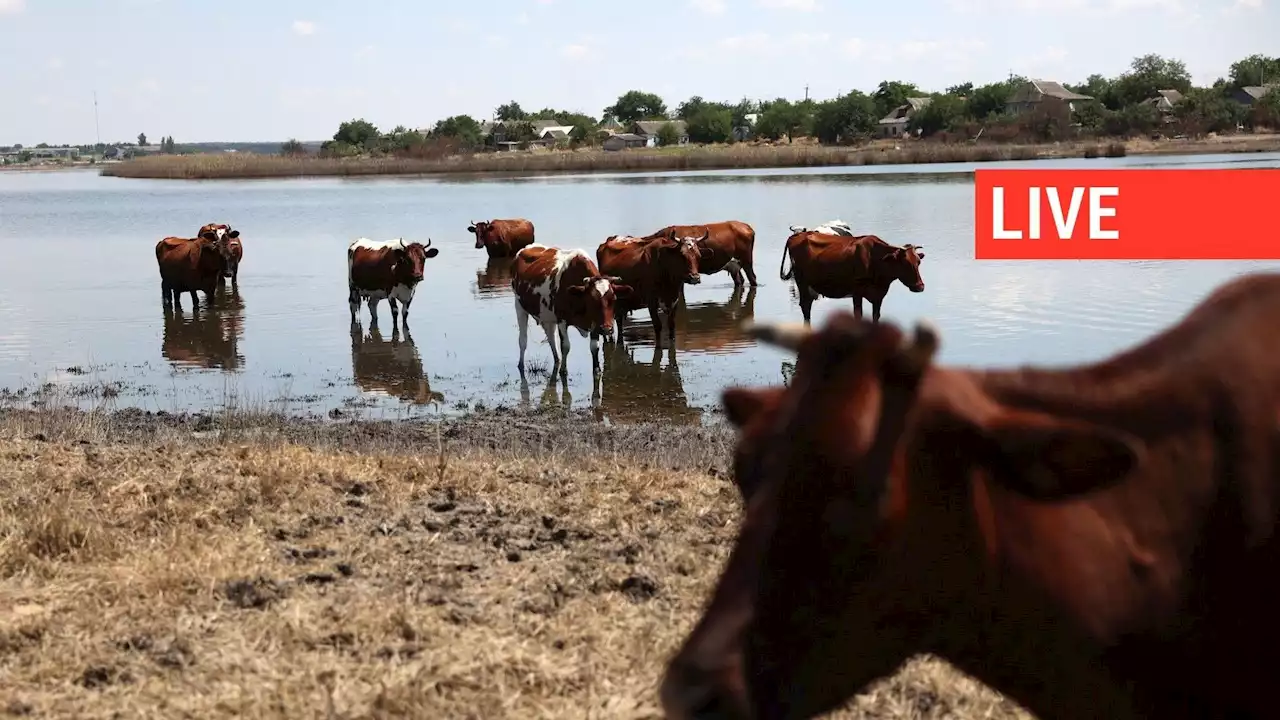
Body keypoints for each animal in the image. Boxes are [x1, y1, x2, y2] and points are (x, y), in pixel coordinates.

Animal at [506, 240, 632, 379]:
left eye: (613, 299)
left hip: (547, 315)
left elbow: (594, 347)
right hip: (519, 307)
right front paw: (563, 371)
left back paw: (557, 360)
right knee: (523, 340)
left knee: (551, 338)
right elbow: (565, 346)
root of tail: (527, 248)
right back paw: (521, 365)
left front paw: (597, 370)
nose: (606, 329)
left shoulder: (594, 323)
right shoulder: (562, 320)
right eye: (592, 300)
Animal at [773, 229, 926, 322]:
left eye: (918, 262)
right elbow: (858, 315)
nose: (920, 287)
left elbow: (876, 316)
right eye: (905, 263)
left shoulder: (878, 295)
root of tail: (797, 235)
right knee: (805, 305)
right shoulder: (857, 292)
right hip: (801, 281)